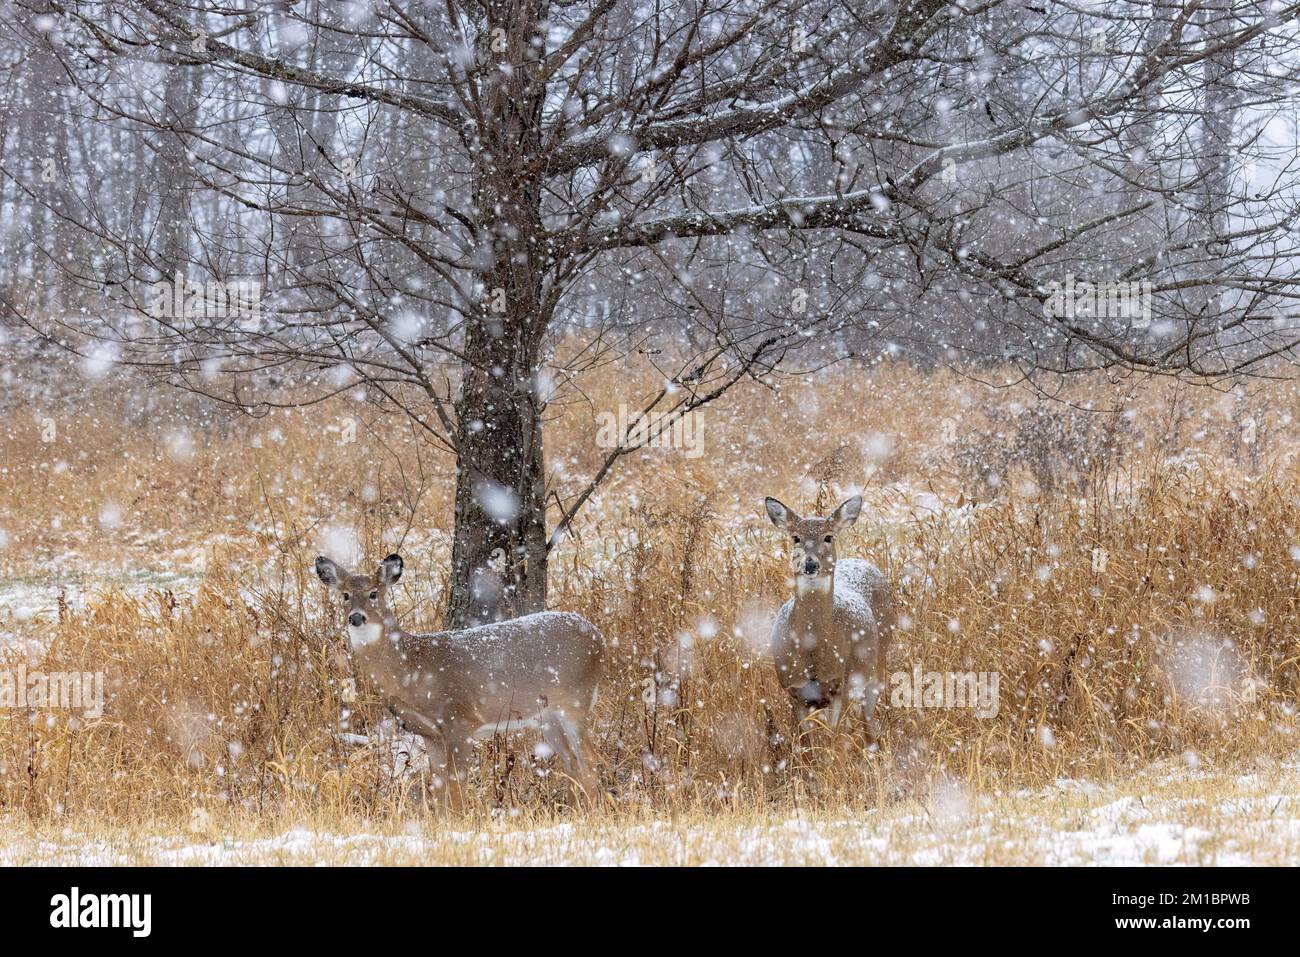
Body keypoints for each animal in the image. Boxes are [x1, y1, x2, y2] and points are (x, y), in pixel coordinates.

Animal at [314, 553, 603, 800]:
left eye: (374, 593)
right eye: (345, 595)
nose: (356, 617)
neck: (412, 670)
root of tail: (598, 637)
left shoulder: (459, 719)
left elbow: (457, 785)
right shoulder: (430, 732)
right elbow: (439, 784)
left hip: (576, 699)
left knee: (589, 757)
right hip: (547, 715)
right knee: (570, 760)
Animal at [759, 494, 894, 738]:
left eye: (828, 536)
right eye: (796, 537)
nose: (810, 563)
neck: (812, 652)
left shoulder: (839, 686)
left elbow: (834, 739)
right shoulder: (794, 690)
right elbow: (807, 743)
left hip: (877, 664)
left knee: (867, 719)